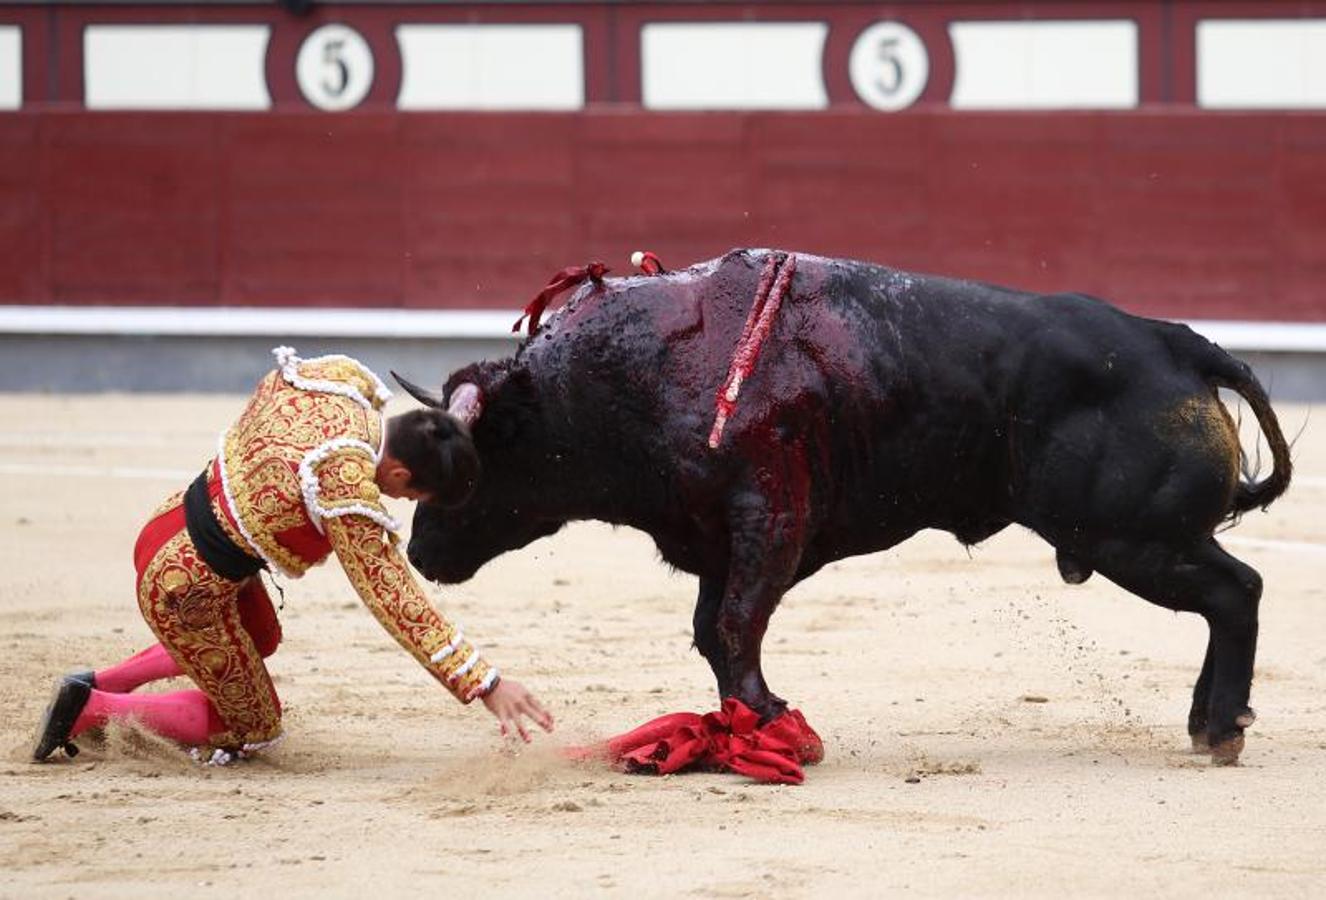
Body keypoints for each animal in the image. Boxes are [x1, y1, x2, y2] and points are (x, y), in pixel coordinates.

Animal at [397, 250, 1288, 763]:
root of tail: (1176, 342)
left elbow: (734, 625)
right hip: (1141, 539)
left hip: (1130, 537)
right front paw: (744, 724)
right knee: (1231, 595)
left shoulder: (770, 518)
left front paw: (770, 722)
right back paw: (1211, 724)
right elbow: (713, 630)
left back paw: (1219, 731)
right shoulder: (722, 539)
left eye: (467, 468)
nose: (416, 553)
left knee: (1236, 592)